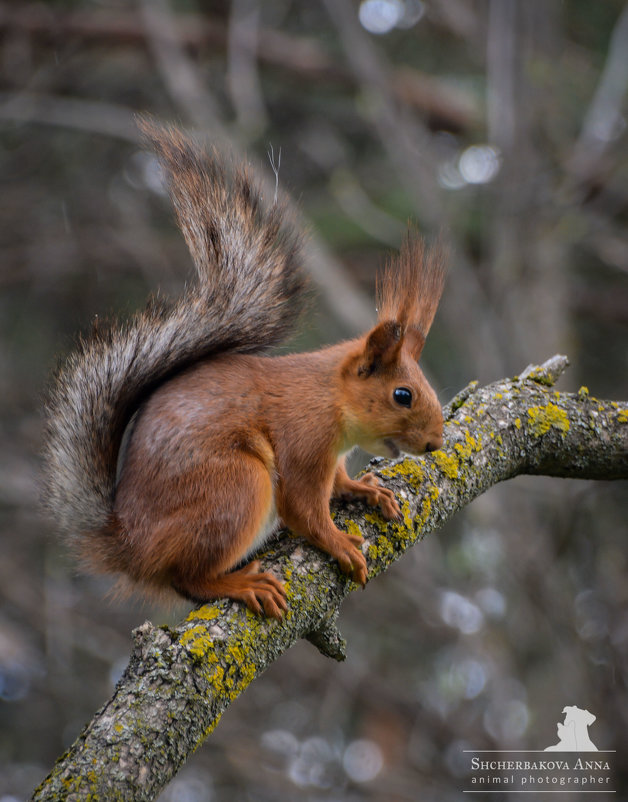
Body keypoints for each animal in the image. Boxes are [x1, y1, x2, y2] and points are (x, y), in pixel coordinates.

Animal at [43, 120, 446, 620]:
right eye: (402, 395)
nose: (436, 443)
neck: (330, 398)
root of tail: (131, 545)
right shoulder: (304, 439)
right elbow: (304, 510)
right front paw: (339, 543)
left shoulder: (330, 455)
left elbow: (337, 483)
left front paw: (364, 489)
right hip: (237, 486)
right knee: (189, 578)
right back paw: (242, 584)